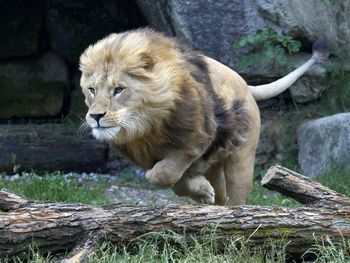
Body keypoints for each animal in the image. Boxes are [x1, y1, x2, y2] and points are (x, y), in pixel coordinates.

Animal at [79, 28, 328, 206]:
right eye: (92, 89)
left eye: (118, 90)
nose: (96, 116)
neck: (148, 127)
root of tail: (246, 85)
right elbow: (174, 181)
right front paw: (202, 191)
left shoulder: (198, 139)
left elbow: (162, 174)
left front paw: (196, 187)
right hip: (214, 163)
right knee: (221, 192)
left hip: (242, 157)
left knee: (237, 196)